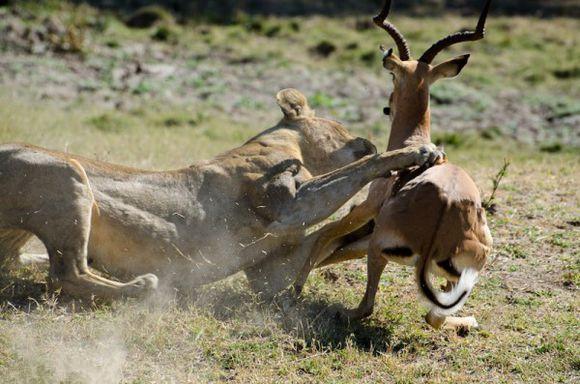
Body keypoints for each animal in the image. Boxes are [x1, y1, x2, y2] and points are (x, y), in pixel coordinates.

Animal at [294, 0, 494, 330]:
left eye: (393, 77)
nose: (388, 105)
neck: (413, 140)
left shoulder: (366, 207)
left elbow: (324, 234)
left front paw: (295, 287)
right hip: (460, 273)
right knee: (434, 316)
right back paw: (468, 322)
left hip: (377, 245)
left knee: (366, 307)